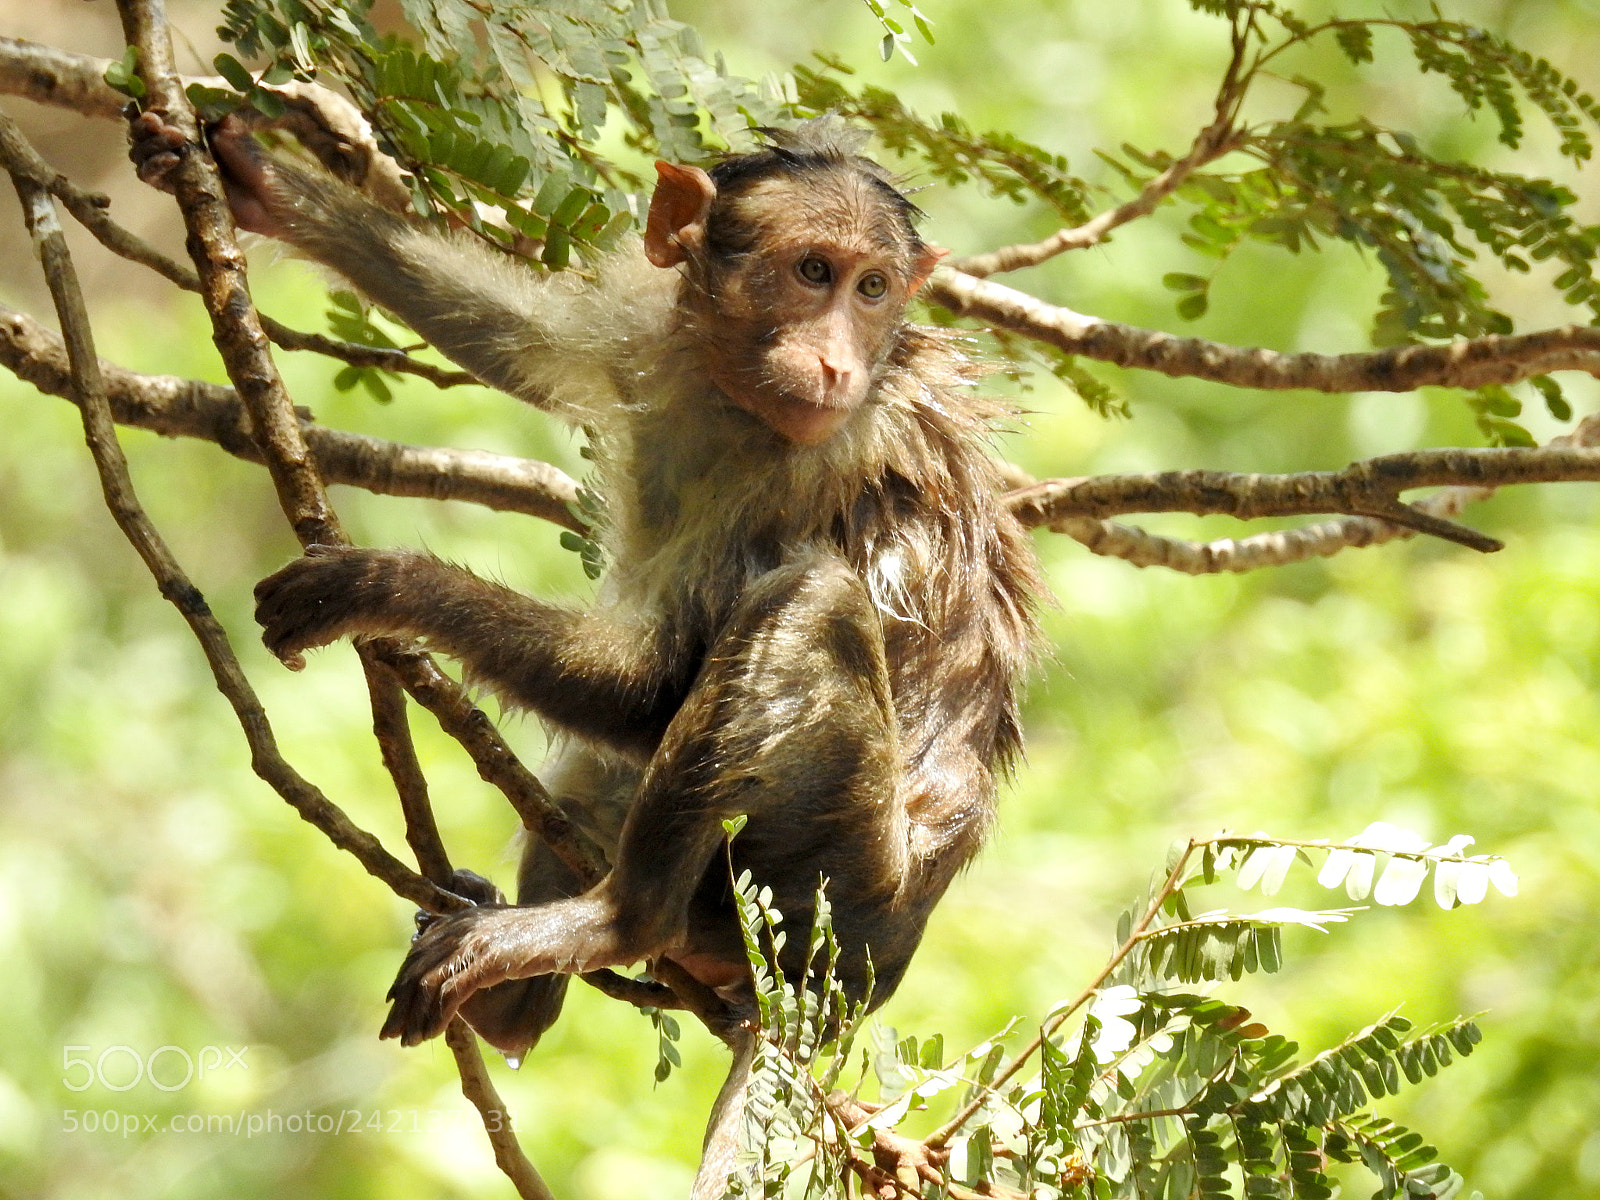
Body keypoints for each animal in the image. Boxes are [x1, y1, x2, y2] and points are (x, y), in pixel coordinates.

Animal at [131, 107, 1041, 1162]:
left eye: (873, 289)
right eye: (815, 271)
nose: (835, 361)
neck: (732, 398)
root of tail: (866, 980)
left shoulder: (824, 458)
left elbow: (654, 685)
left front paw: (384, 584)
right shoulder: (653, 330)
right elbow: (516, 331)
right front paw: (256, 179)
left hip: (826, 892)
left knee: (809, 602)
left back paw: (615, 923)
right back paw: (513, 1007)